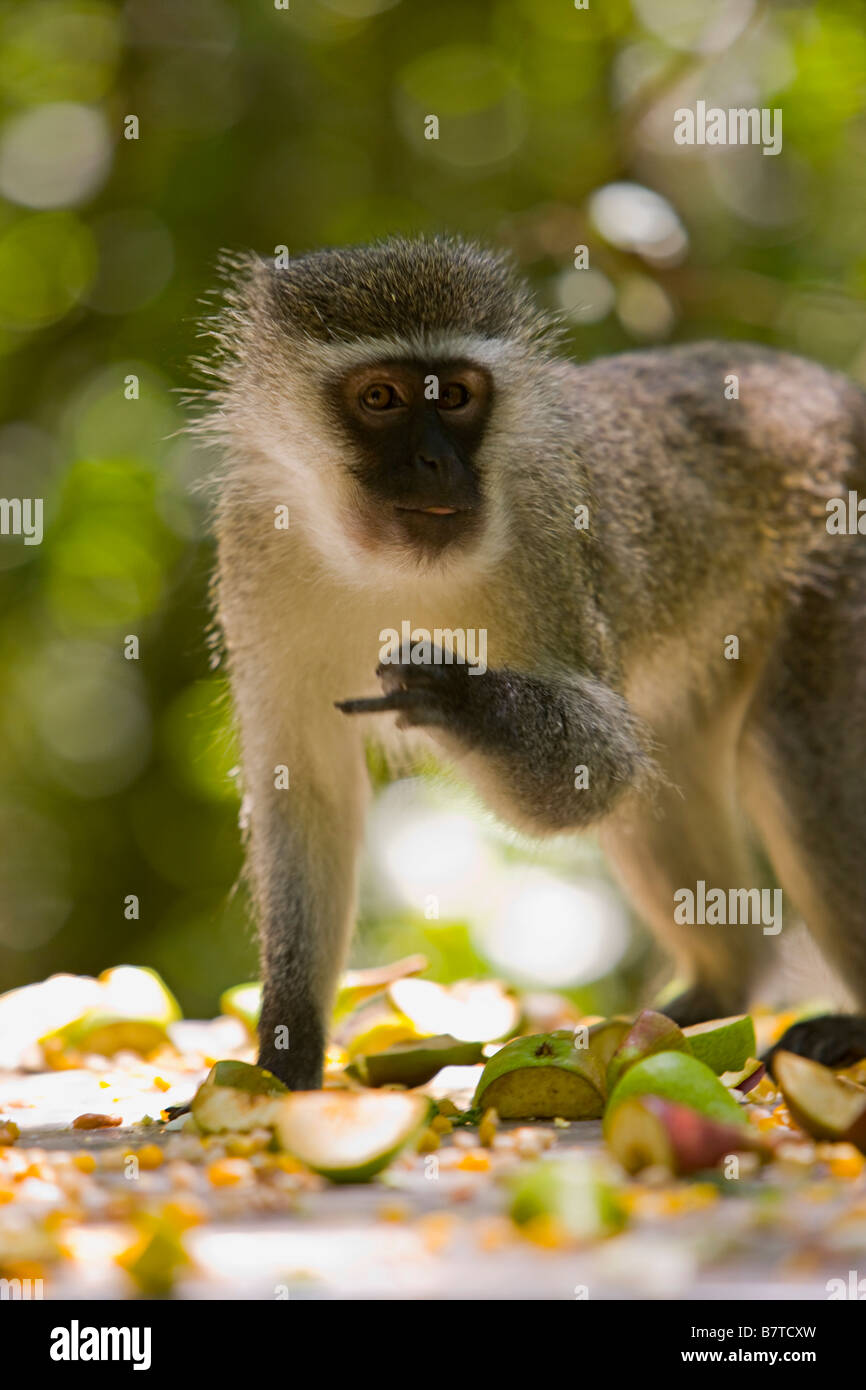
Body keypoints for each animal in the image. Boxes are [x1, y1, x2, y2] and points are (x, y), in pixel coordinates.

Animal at [200, 236, 866, 1084]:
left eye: (454, 396)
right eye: (382, 398)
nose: (435, 462)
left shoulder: (549, 541)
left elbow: (601, 768)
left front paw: (459, 701)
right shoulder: (255, 542)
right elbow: (307, 789)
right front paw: (283, 1063)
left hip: (842, 566)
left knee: (795, 757)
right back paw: (718, 990)